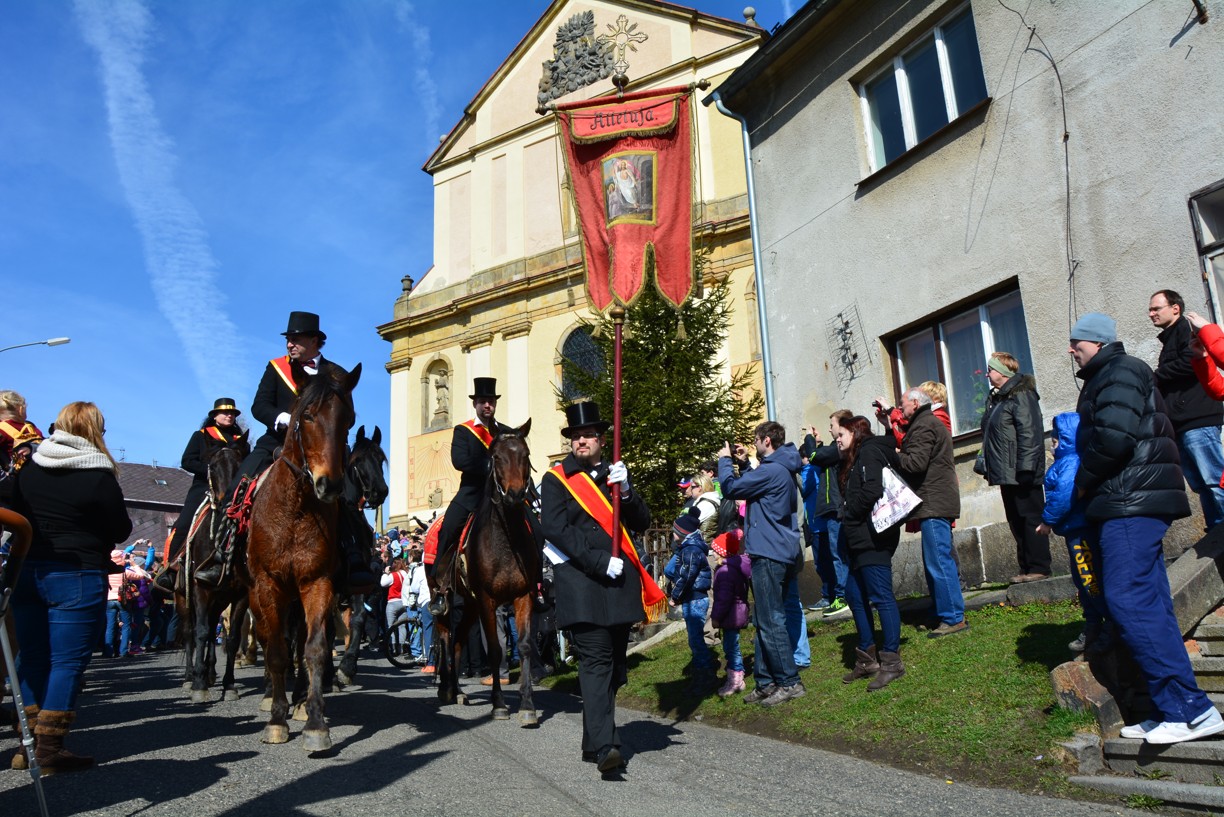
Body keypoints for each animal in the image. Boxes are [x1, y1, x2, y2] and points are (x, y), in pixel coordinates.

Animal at [243, 365, 357, 754]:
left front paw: (316, 722)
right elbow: (277, 651)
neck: (295, 509)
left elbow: (315, 650)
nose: (330, 485)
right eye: (306, 416)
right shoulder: (268, 585)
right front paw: (277, 720)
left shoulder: (317, 583)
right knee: (267, 640)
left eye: (349, 420)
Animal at [435, 421, 541, 730]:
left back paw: (458, 691)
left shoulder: (524, 596)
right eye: (496, 457)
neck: (505, 538)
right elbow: (494, 649)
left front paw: (527, 706)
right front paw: (499, 705)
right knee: (445, 636)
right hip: (447, 599)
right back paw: (446, 689)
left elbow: (525, 646)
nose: (516, 495)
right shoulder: (487, 599)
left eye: (526, 455)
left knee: (458, 640)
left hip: (469, 606)